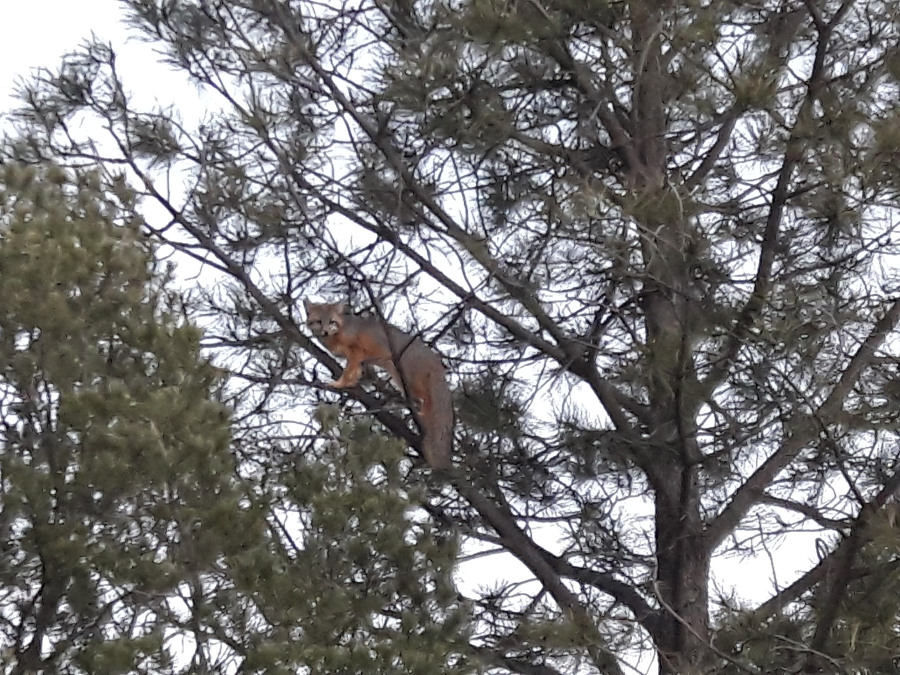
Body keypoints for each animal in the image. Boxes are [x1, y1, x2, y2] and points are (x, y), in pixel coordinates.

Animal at [304, 300, 454, 469]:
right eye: (318, 321)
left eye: (331, 321)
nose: (324, 332)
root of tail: (436, 362)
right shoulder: (359, 359)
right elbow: (356, 373)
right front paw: (351, 383)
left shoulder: (356, 352)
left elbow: (348, 372)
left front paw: (339, 384)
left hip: (407, 381)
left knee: (427, 400)